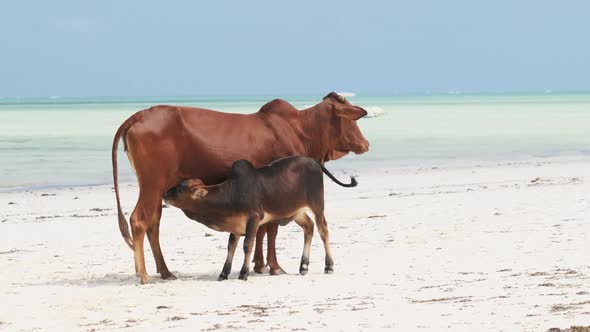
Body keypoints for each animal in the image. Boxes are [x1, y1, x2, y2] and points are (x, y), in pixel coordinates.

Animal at [162, 156, 358, 280]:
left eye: (180, 189)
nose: (164, 195)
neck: (231, 193)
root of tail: (314, 161)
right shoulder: (236, 225)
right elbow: (230, 247)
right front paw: (224, 273)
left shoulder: (254, 218)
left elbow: (247, 245)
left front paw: (243, 273)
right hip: (297, 211)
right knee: (308, 228)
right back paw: (303, 266)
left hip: (317, 204)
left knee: (323, 230)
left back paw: (328, 266)